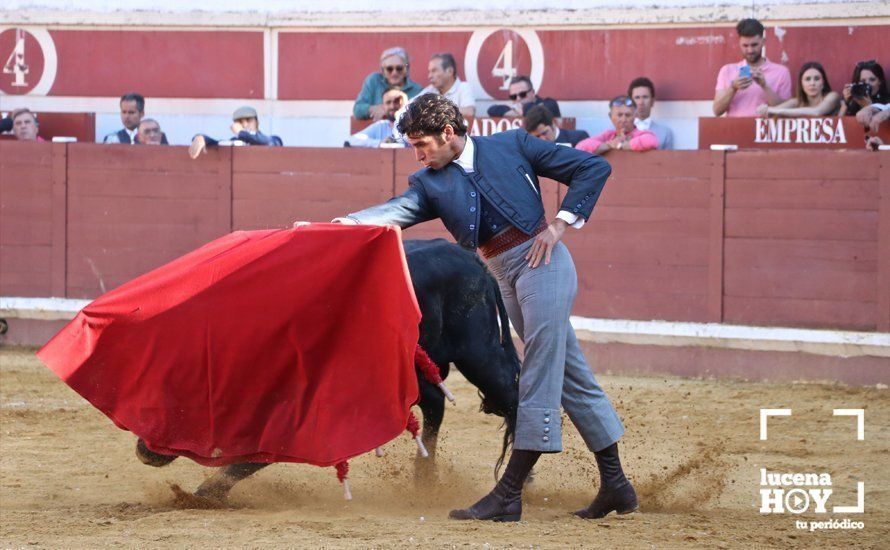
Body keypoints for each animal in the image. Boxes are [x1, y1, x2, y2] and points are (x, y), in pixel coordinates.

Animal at [137, 239, 520, 502]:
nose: (144, 451)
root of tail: (467, 257)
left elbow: (258, 454)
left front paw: (203, 494)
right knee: (435, 405)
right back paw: (423, 478)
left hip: (479, 353)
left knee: (511, 397)